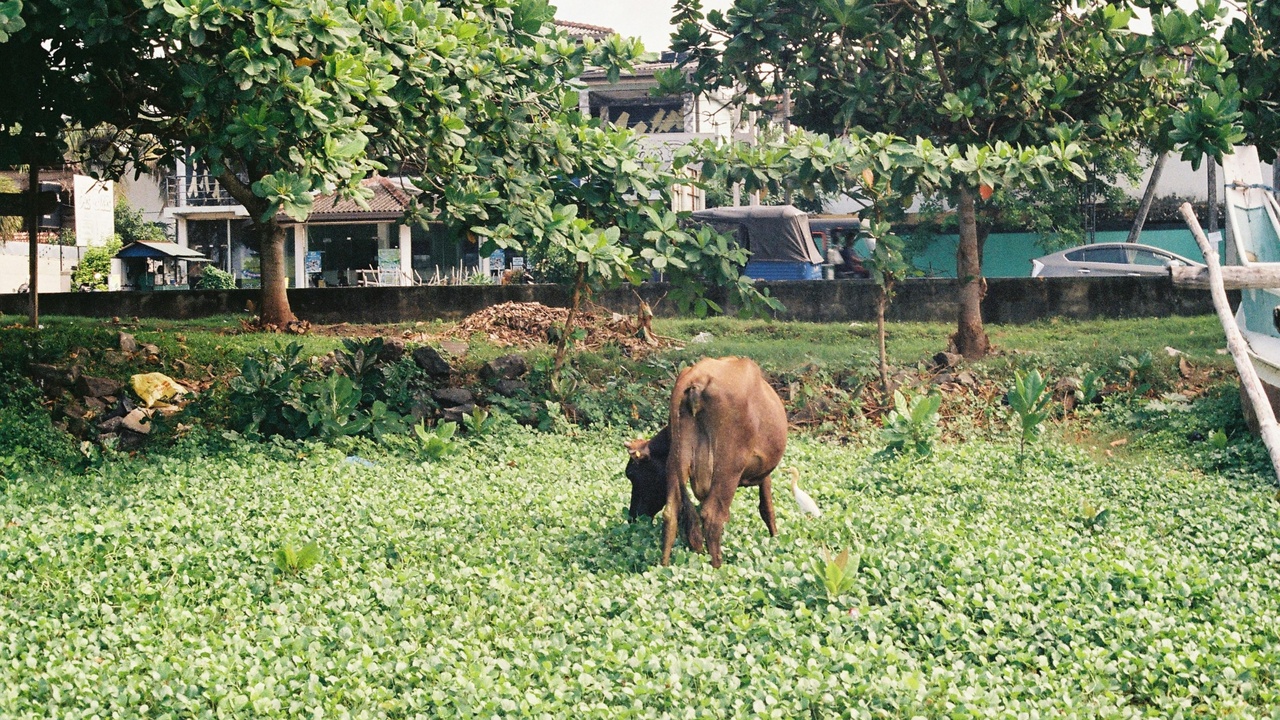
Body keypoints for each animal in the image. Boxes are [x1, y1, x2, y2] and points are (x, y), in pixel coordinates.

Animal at [624, 356, 788, 568]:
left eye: (632, 475)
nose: (632, 517)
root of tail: (696, 377)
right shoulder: (763, 472)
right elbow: (767, 507)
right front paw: (775, 539)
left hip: (678, 461)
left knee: (671, 513)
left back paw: (664, 565)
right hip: (728, 468)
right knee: (713, 516)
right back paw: (718, 567)